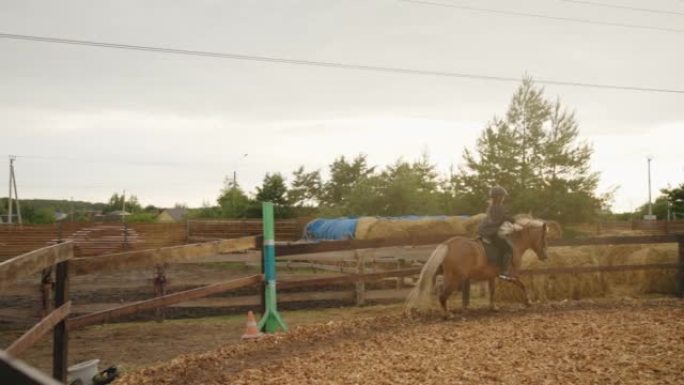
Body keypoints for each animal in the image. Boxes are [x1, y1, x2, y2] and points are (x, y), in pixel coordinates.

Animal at [406, 214, 552, 316]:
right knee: (442, 295)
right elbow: (522, 285)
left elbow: (492, 291)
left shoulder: (492, 276)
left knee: (430, 288)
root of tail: (447, 244)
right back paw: (447, 314)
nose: (545, 256)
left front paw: (493, 307)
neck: (514, 243)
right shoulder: (511, 275)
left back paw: (418, 309)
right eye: (544, 238)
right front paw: (528, 301)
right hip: (455, 278)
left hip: (441, 274)